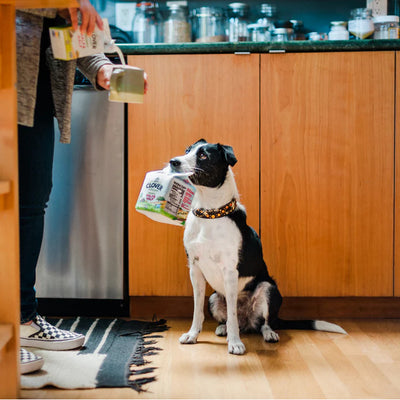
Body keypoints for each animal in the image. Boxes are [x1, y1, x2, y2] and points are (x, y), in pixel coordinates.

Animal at [167, 139, 346, 354]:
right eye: (187, 150)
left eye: (203, 155)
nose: (173, 162)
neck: (210, 214)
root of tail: (247, 322)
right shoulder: (195, 269)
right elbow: (197, 310)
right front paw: (193, 335)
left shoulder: (230, 271)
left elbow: (232, 315)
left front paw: (235, 343)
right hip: (214, 298)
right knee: (229, 319)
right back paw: (222, 328)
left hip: (268, 289)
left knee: (263, 322)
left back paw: (268, 334)